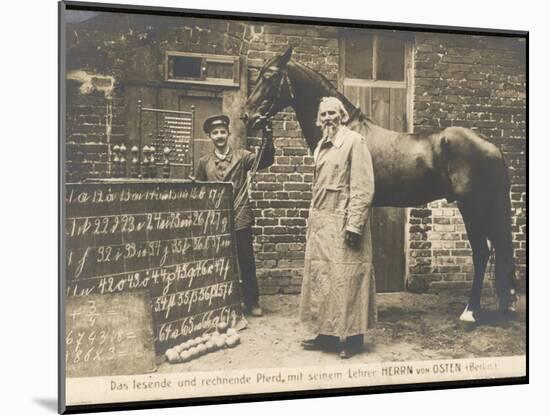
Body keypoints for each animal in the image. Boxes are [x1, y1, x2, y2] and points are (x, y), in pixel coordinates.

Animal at [244, 46, 520, 324]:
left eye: (269, 77)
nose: (248, 116)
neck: (347, 133)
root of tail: (492, 146)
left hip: (471, 207)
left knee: (483, 252)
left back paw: (470, 311)